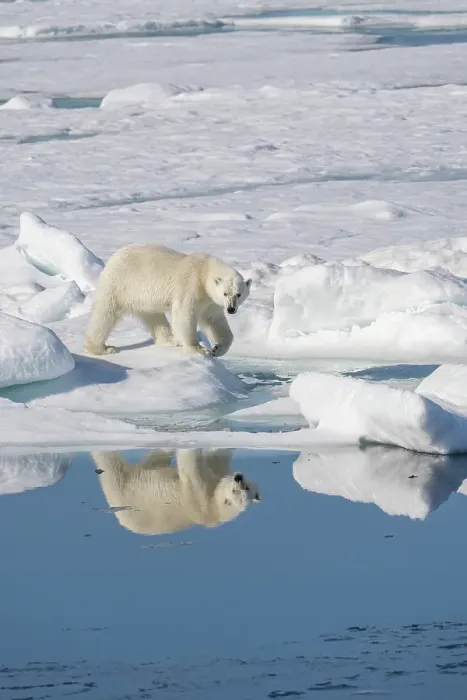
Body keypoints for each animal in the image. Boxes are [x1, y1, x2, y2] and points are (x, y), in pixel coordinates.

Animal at [84, 244, 252, 357]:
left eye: (238, 294)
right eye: (225, 293)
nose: (231, 309)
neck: (205, 269)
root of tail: (113, 257)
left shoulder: (210, 300)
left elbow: (214, 320)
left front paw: (218, 348)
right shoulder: (191, 285)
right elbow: (185, 314)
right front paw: (199, 349)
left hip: (142, 297)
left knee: (154, 317)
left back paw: (171, 339)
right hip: (120, 285)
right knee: (105, 313)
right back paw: (101, 348)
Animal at [92, 448, 261, 535]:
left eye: (240, 489)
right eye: (245, 487)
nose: (238, 477)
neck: (215, 511)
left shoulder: (199, 498)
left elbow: (190, 466)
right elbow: (216, 458)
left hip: (125, 493)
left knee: (112, 468)